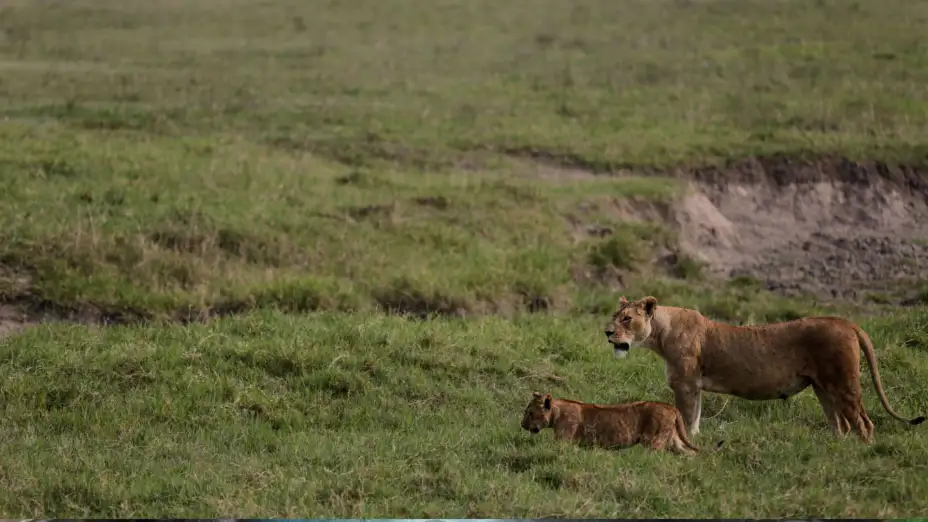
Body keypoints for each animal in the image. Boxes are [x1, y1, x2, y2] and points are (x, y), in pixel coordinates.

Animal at [520, 391, 724, 455]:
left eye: (530, 413)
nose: (522, 425)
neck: (557, 411)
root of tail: (672, 408)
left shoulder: (563, 440)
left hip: (654, 441)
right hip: (674, 440)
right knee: (690, 453)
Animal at [603, 295, 925, 443]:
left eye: (627, 318)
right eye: (614, 316)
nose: (607, 332)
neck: (660, 332)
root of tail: (846, 321)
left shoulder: (685, 384)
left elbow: (685, 416)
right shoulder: (694, 386)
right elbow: (695, 416)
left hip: (843, 383)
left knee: (863, 423)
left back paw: (861, 451)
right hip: (823, 388)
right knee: (841, 424)